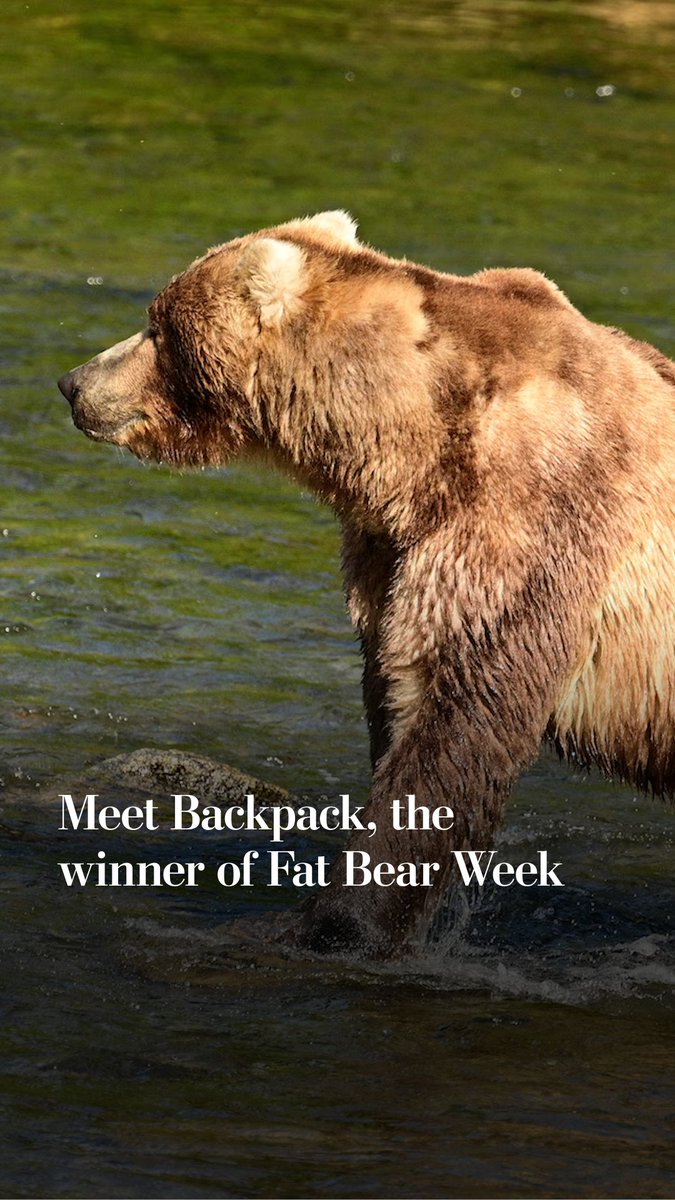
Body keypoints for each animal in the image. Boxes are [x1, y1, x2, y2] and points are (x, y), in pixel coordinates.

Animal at [58, 211, 675, 958]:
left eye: (157, 326)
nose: (73, 382)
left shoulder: (526, 518)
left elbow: (458, 720)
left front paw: (334, 923)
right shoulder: (390, 556)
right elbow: (395, 698)